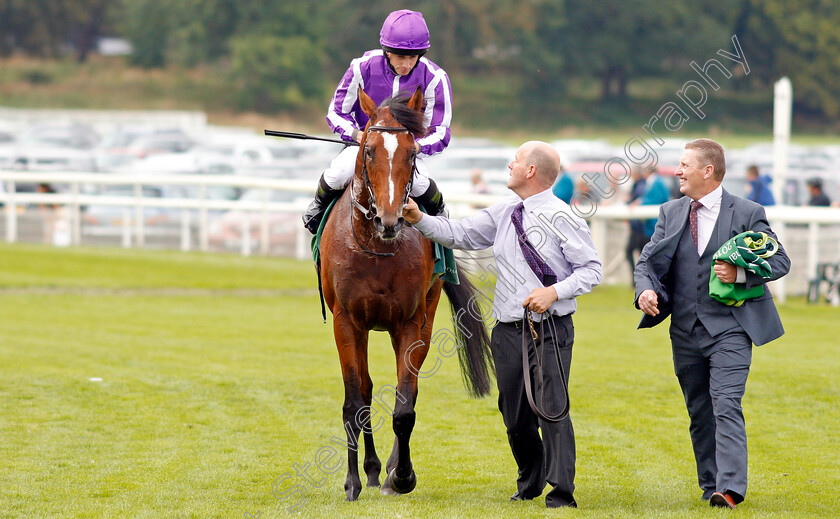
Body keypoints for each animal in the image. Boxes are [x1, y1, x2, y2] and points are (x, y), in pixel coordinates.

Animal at [320, 87, 492, 502]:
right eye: (368, 150)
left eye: (412, 153)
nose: (390, 220)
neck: (377, 248)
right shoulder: (346, 321)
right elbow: (354, 400)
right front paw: (352, 481)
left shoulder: (410, 322)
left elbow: (404, 406)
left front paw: (402, 477)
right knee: (365, 390)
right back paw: (370, 470)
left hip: (424, 316)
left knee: (406, 394)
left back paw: (388, 473)